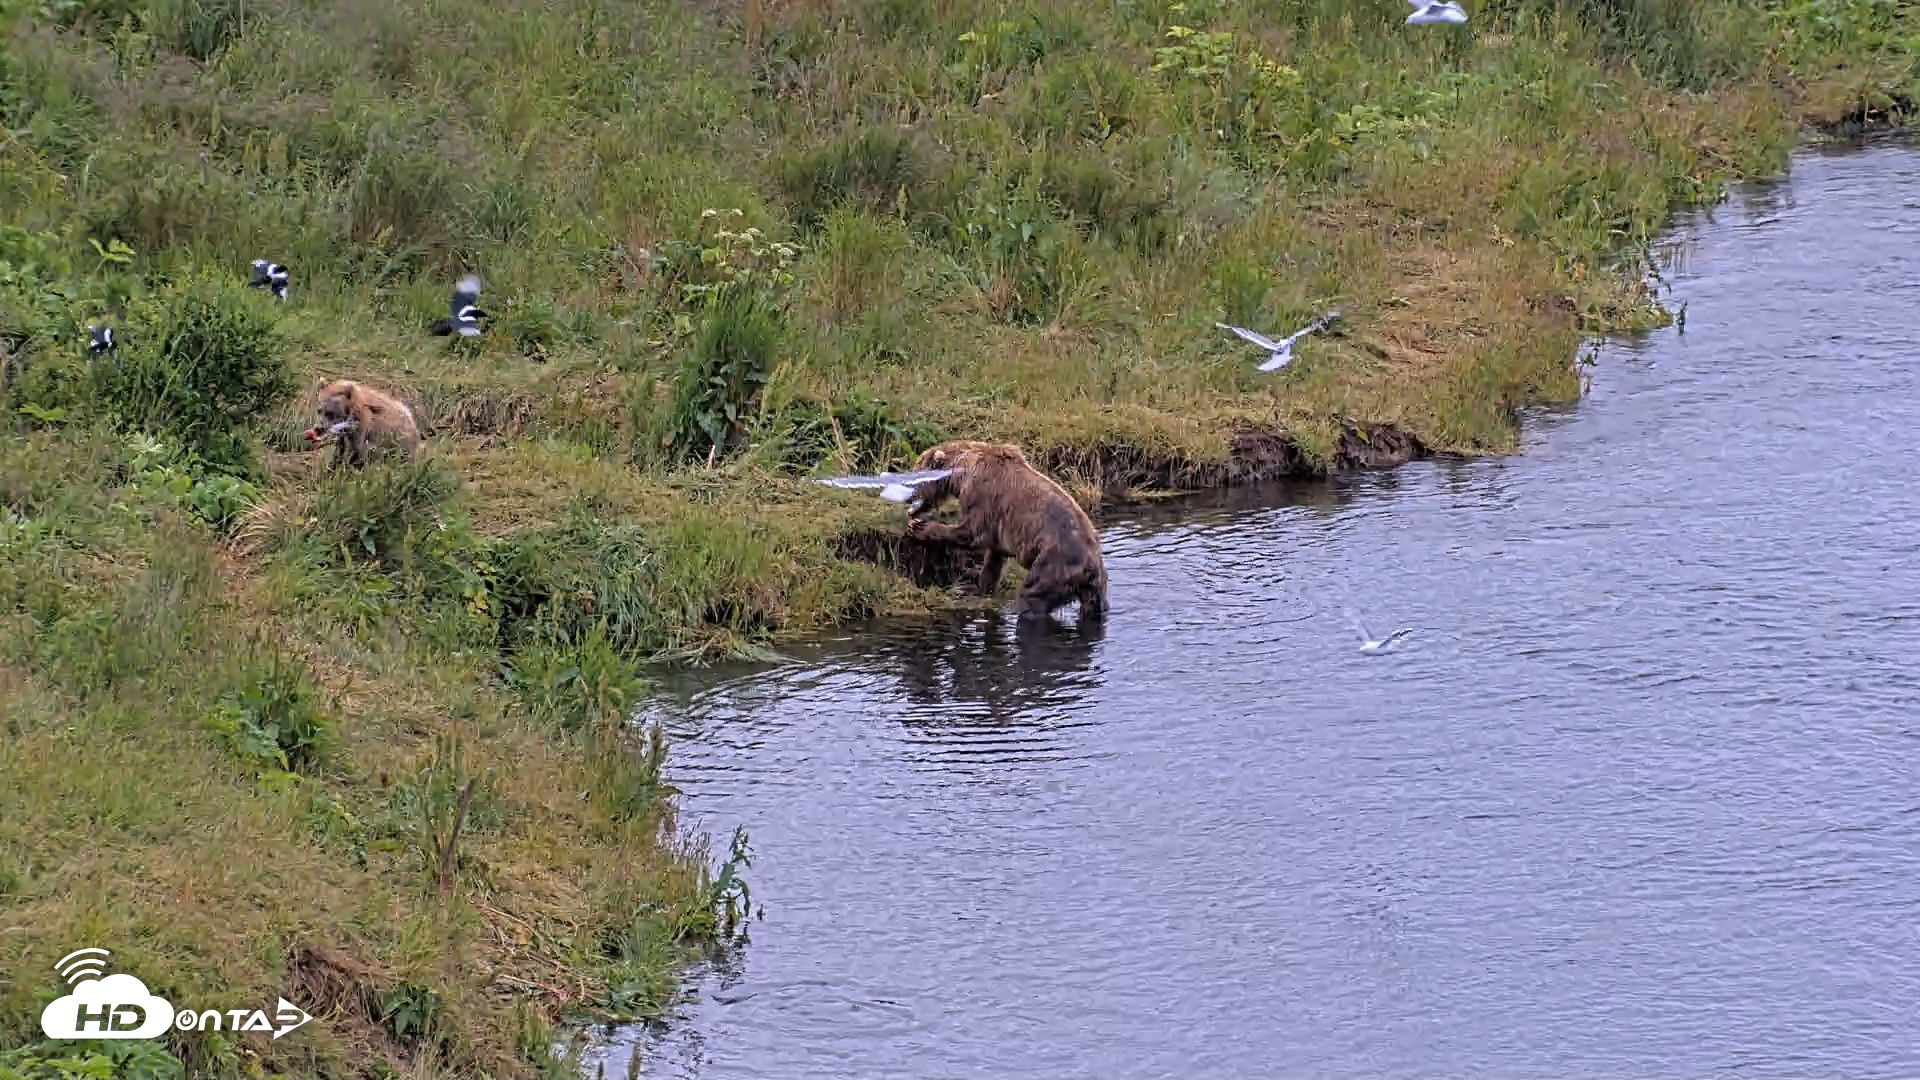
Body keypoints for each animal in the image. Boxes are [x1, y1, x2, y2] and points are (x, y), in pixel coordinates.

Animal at [905, 439, 1108, 621]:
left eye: (914, 475)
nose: (908, 498)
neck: (961, 473)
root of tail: (1091, 567)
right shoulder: (999, 530)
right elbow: (993, 560)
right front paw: (981, 588)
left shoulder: (982, 495)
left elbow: (971, 533)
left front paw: (920, 526)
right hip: (1094, 587)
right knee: (1094, 605)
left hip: (1054, 563)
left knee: (1032, 595)